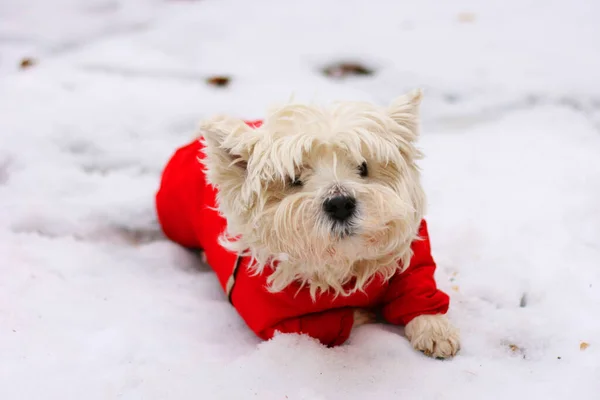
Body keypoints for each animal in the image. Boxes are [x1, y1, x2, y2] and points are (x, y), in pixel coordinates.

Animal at [155, 89, 460, 358]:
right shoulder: (276, 320)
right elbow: (335, 320)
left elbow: (418, 290)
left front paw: (434, 329)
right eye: (293, 179)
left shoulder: (412, 258)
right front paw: (362, 312)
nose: (340, 204)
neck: (342, 262)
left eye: (363, 167)